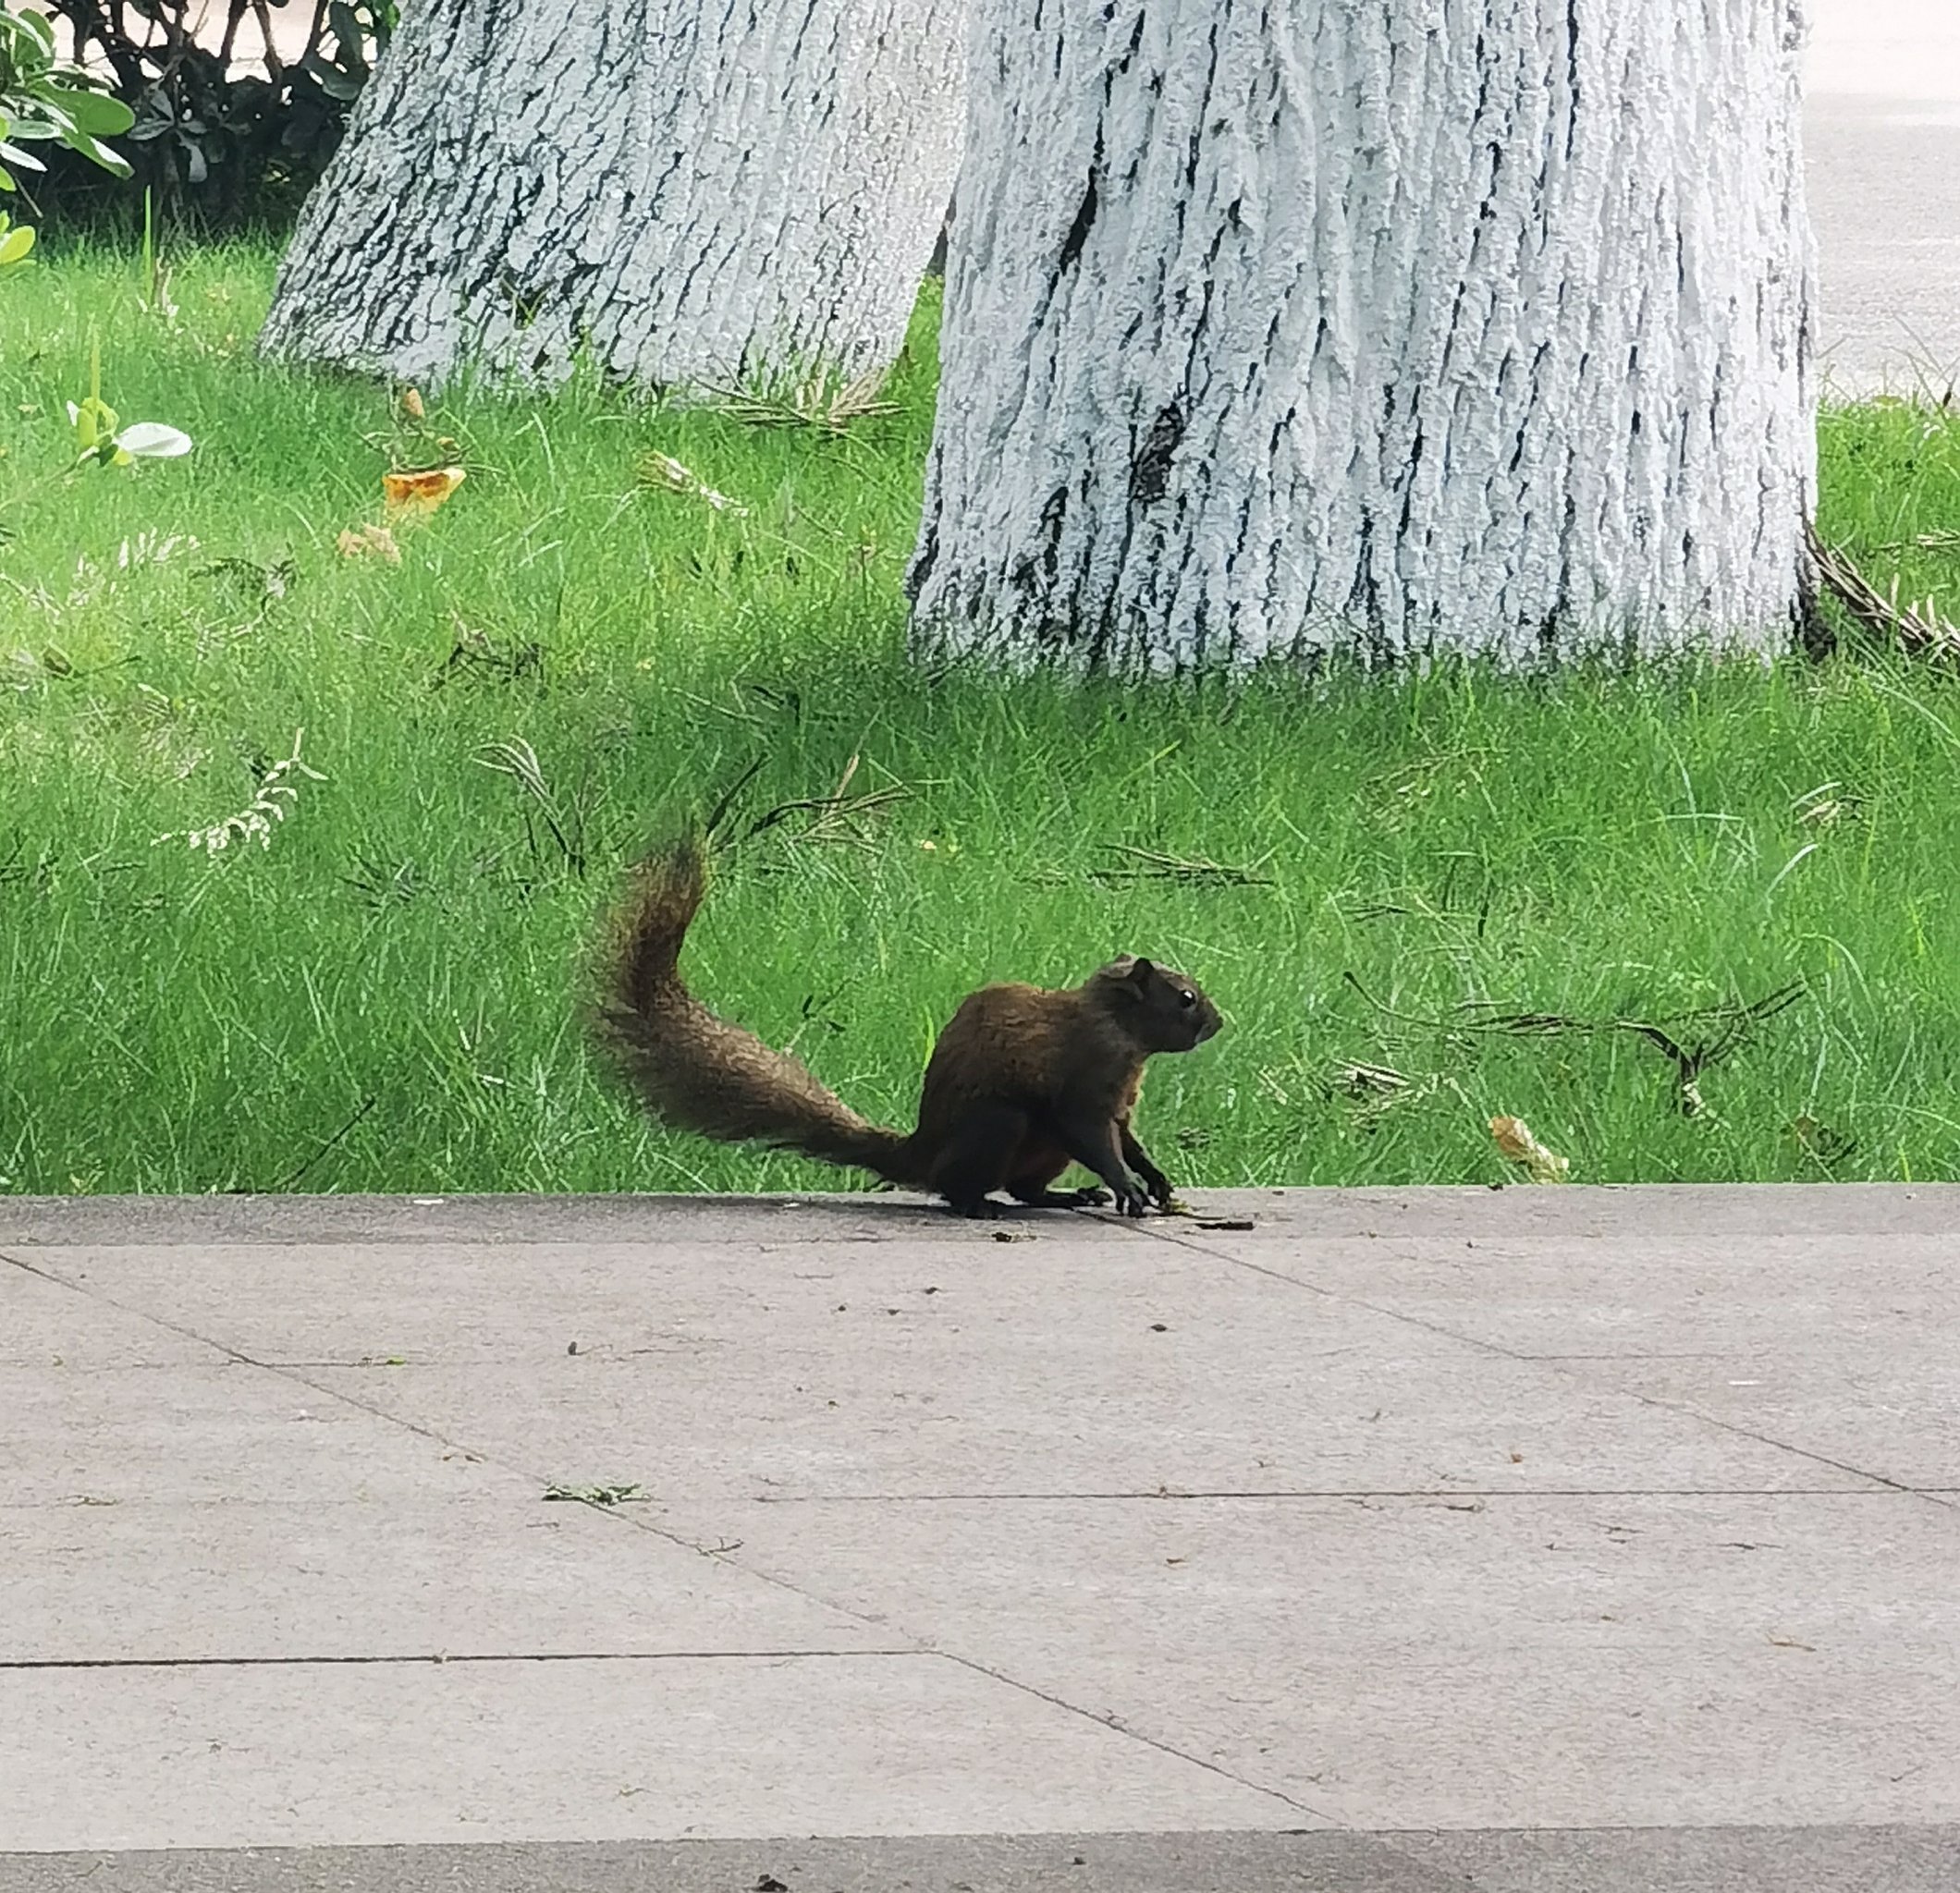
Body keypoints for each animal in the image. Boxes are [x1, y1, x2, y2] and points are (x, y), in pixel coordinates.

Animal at [587, 842, 1215, 1222]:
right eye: (1185, 998)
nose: (1218, 1022)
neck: (1121, 1031)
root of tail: (922, 1153)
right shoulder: (1084, 1078)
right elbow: (1095, 1136)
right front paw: (1128, 1187)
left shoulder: (1119, 1100)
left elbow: (1126, 1139)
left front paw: (1155, 1181)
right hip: (998, 1125)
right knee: (961, 1187)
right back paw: (983, 1206)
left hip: (1041, 1151)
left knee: (1025, 1187)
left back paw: (1064, 1194)